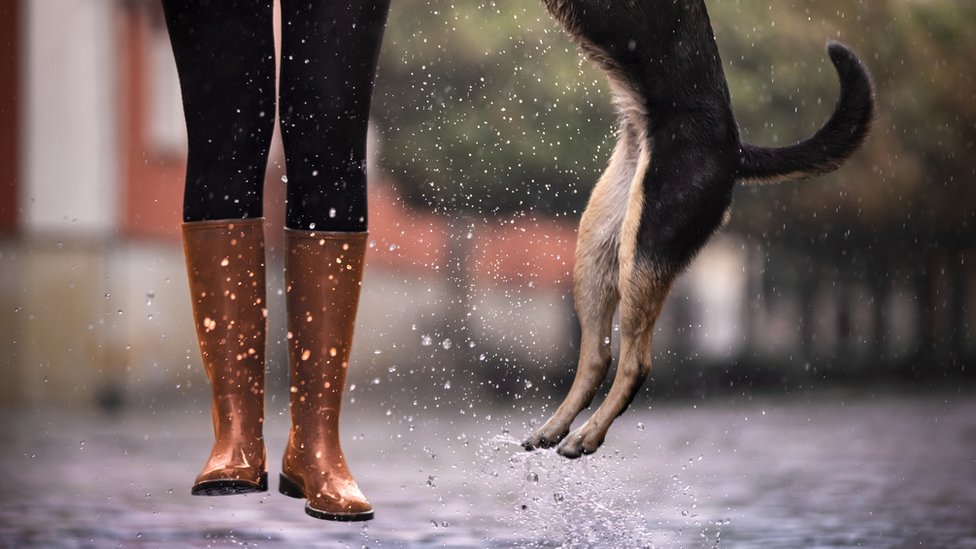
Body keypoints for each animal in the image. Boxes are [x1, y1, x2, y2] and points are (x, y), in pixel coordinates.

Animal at [524, 1, 872, 458]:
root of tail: (736, 151)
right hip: (599, 245)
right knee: (598, 356)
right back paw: (554, 430)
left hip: (645, 246)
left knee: (636, 363)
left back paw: (586, 435)